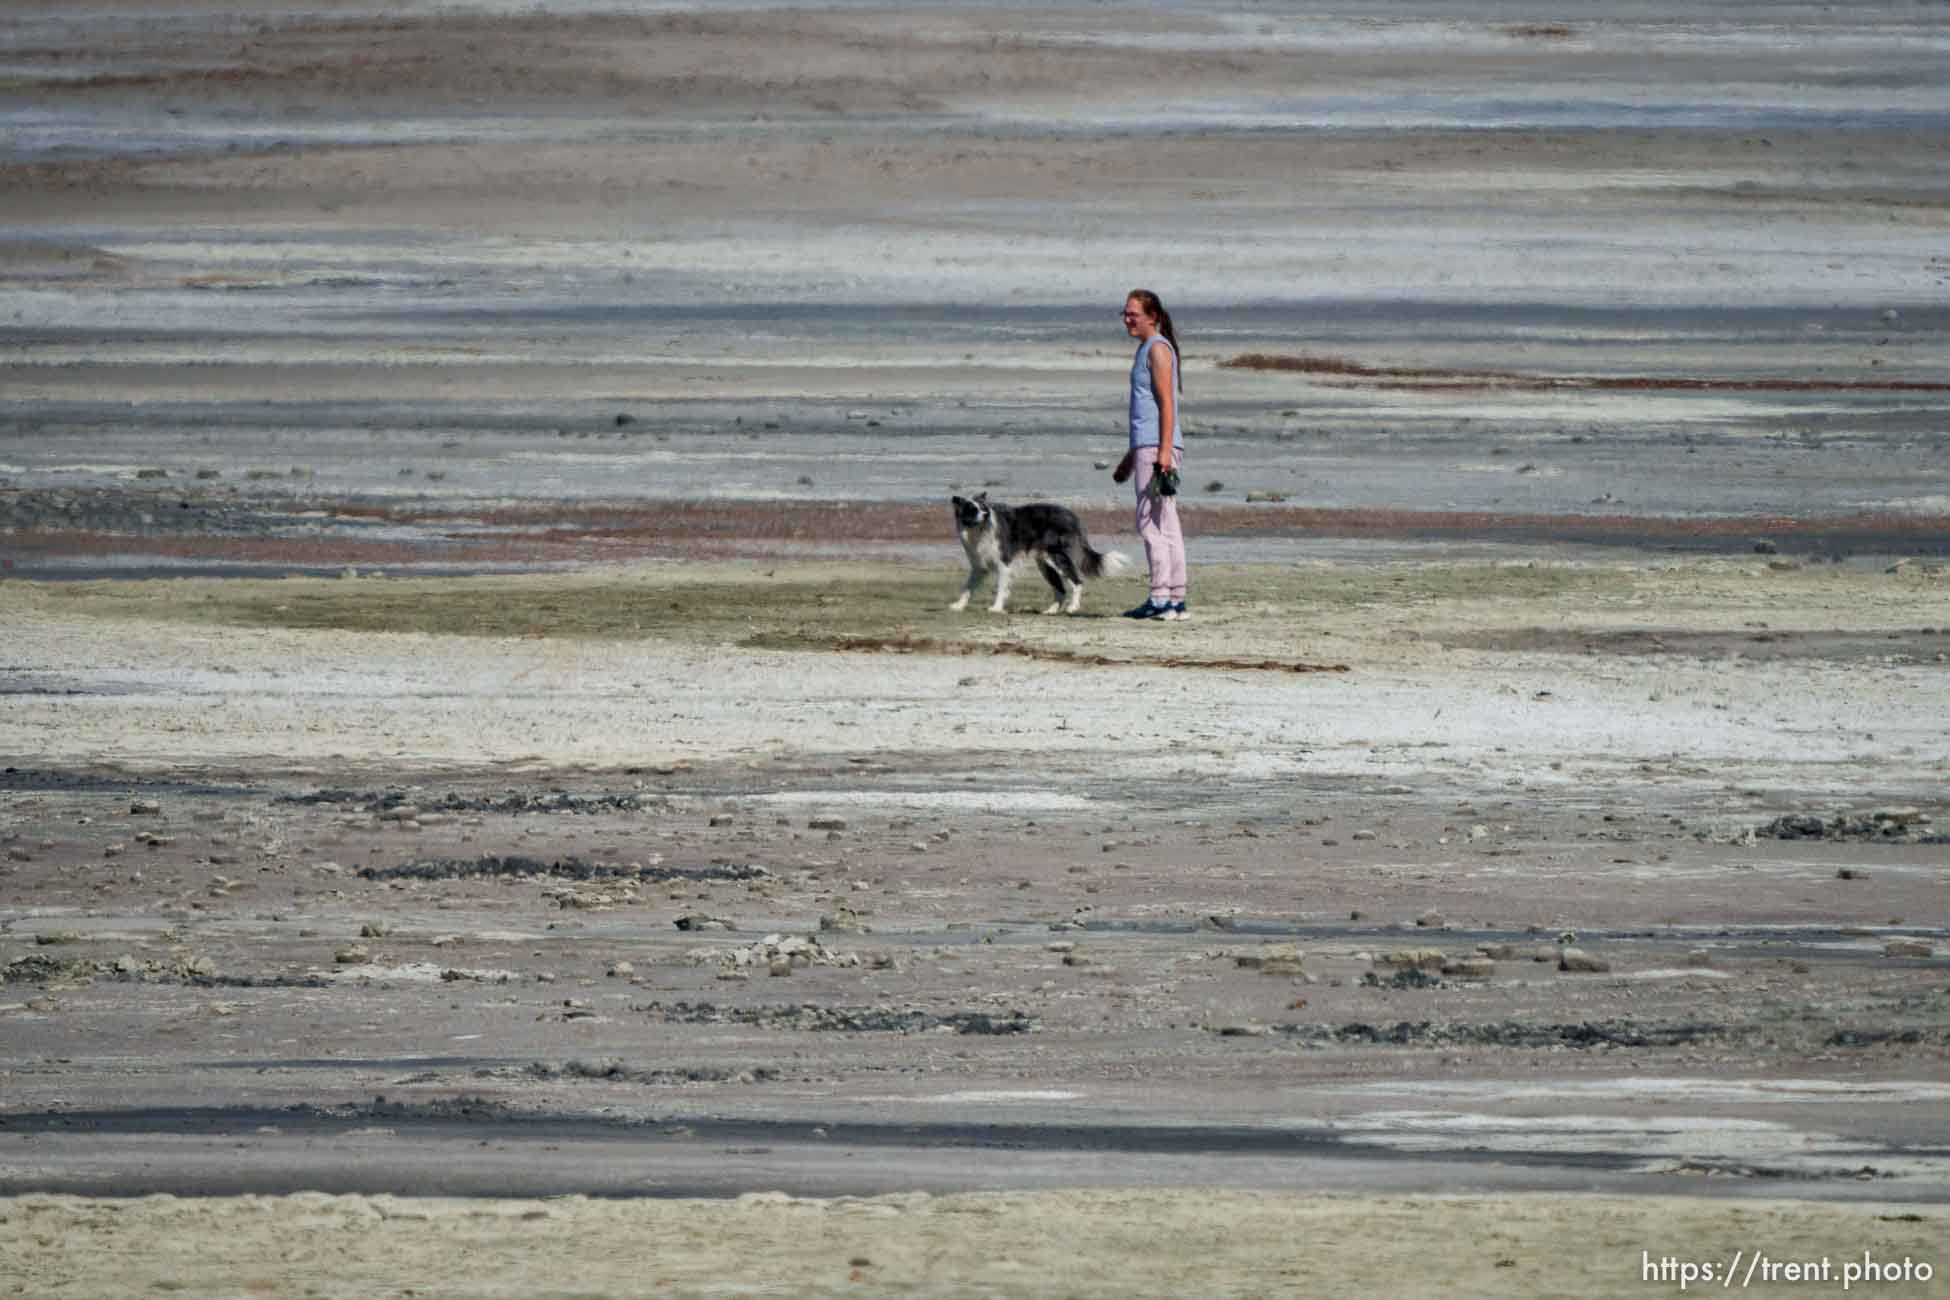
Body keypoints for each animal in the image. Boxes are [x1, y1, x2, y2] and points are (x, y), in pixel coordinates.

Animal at [947, 493, 1131, 615]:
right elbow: (967, 588)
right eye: (972, 509)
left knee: (1077, 582)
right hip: (1045, 564)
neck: (980, 530)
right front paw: (959, 605)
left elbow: (1000, 588)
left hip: (1057, 558)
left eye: (984, 508)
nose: (985, 515)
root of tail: (1071, 514)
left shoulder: (1004, 564)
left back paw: (1073, 607)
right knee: (1060, 589)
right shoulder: (979, 567)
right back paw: (1051, 611)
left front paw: (996, 608)